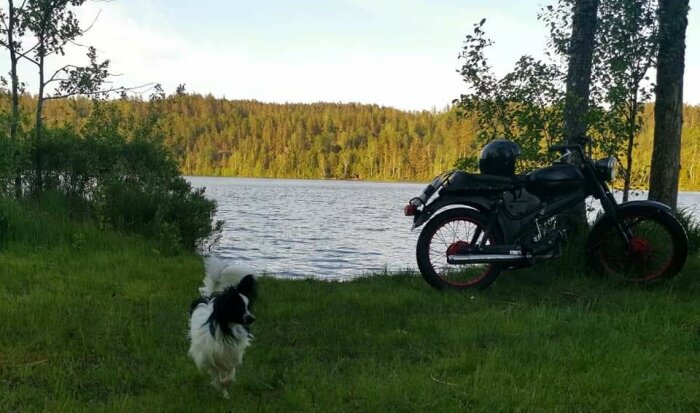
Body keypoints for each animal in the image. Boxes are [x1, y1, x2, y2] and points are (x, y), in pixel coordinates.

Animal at [187, 256, 258, 398]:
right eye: (239, 308)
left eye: (248, 307)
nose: (252, 318)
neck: (227, 329)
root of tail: (210, 297)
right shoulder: (209, 358)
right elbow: (217, 375)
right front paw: (221, 387)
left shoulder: (232, 355)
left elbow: (230, 375)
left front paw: (225, 389)